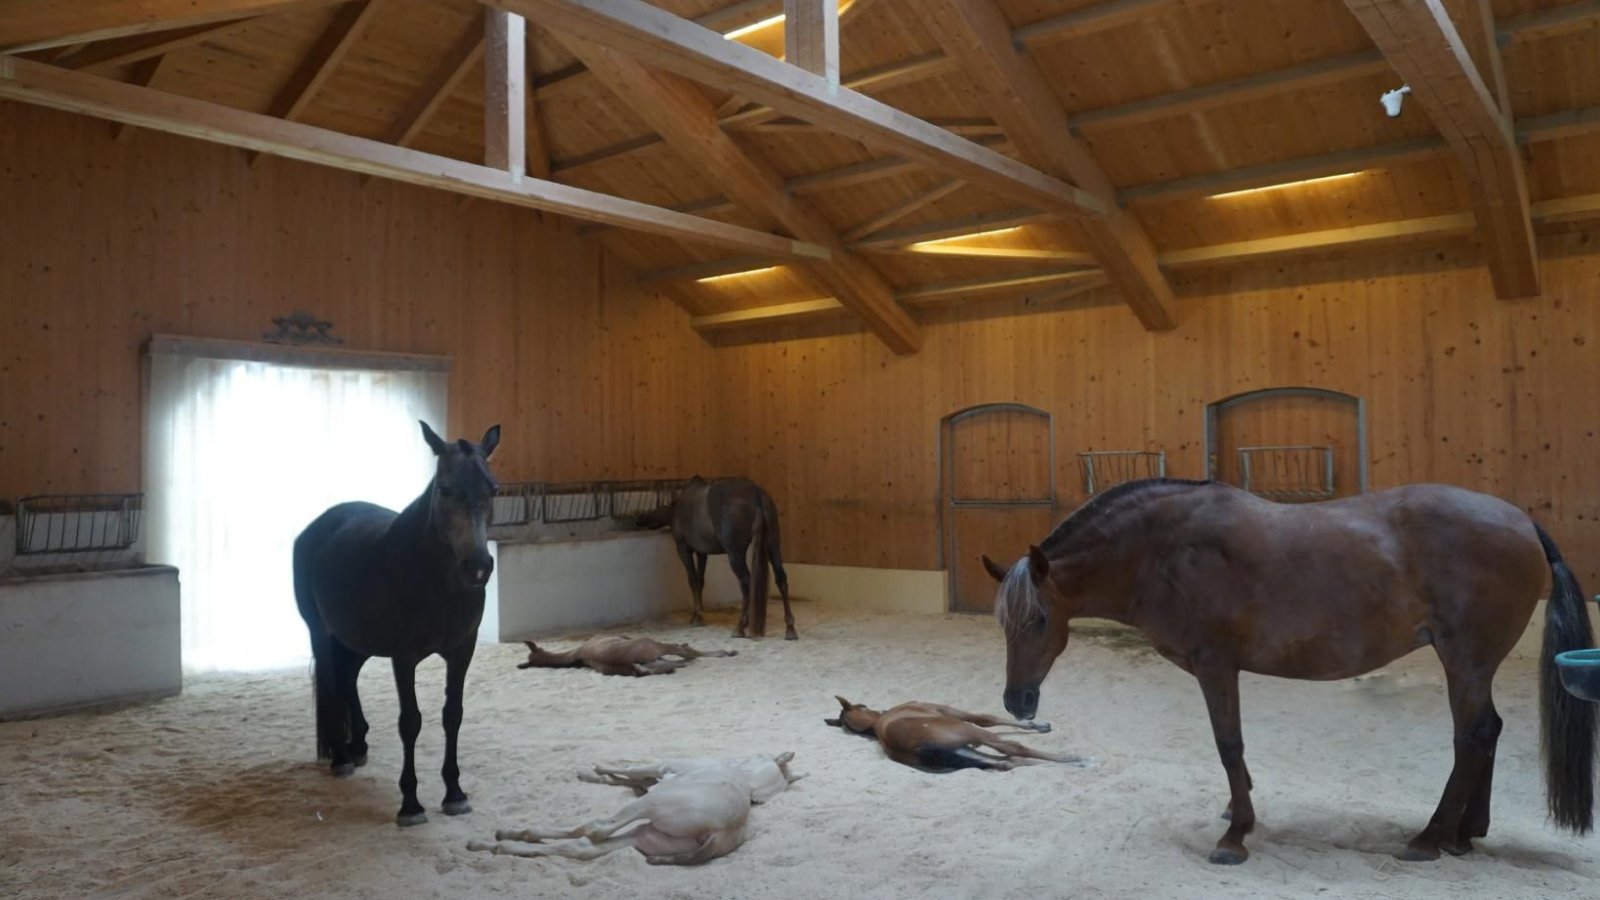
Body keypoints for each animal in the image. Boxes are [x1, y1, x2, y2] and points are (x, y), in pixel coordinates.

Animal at [293, 420, 500, 826]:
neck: (435, 578)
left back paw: (357, 745)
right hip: (321, 634)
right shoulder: (404, 657)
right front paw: (410, 803)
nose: (478, 567)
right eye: (444, 489)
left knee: (347, 678)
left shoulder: (461, 652)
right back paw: (340, 758)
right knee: (333, 682)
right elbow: (411, 722)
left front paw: (454, 793)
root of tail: (318, 526)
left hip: (356, 640)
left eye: (493, 489)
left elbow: (452, 715)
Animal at [467, 753, 802, 865]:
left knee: (594, 830)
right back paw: (494, 843)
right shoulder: (650, 780)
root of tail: (719, 834)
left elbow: (626, 768)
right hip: (646, 836)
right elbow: (621, 778)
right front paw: (591, 774)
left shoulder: (658, 768)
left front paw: (594, 768)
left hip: (647, 809)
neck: (746, 780)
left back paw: (503, 838)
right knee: (582, 847)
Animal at [637, 476, 797, 640]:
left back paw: (739, 627)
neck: (677, 509)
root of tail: (756, 495)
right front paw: (698, 615)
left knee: (746, 582)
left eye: (655, 508)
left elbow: (692, 580)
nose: (640, 520)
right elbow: (700, 581)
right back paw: (790, 629)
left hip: (735, 553)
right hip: (773, 544)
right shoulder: (702, 552)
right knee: (781, 578)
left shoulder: (683, 547)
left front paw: (696, 617)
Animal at [824, 697, 1086, 772]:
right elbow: (987, 718)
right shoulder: (950, 712)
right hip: (970, 733)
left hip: (965, 752)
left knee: (1007, 762)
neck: (878, 722)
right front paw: (1038, 725)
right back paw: (1078, 758)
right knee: (1012, 748)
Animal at [982, 478, 1596, 865]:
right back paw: (1465, 834)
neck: (1163, 550)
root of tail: (1521, 521)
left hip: (1464, 662)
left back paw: (1431, 838)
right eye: (1003, 621)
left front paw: (1235, 835)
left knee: (1471, 737)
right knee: (1488, 732)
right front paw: (1238, 808)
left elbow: (1228, 743)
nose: (1017, 702)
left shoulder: (1216, 665)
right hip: (1471, 666)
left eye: (1038, 620)